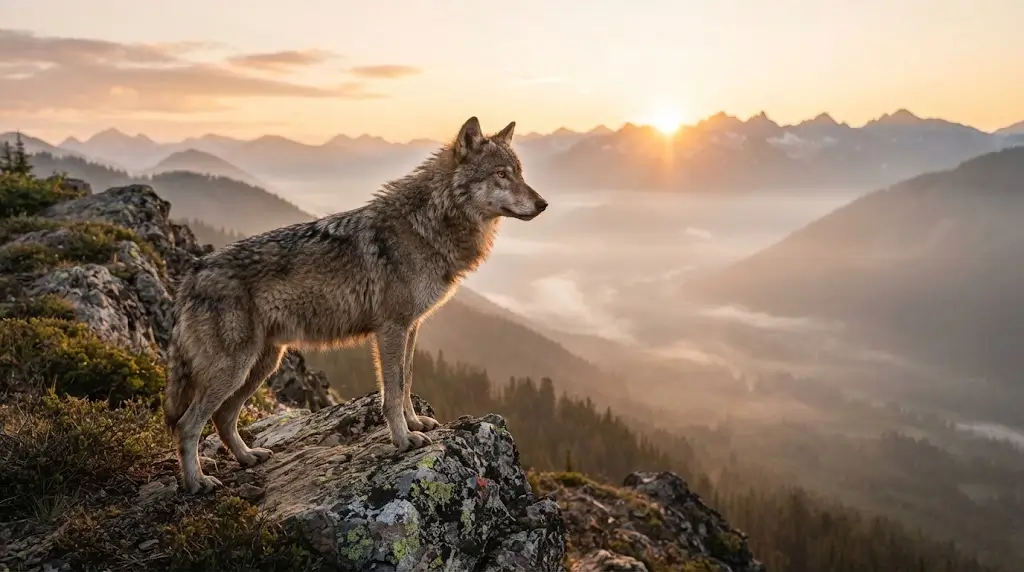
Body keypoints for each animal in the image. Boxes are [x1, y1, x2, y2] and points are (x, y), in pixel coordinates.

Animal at [162, 117, 548, 494]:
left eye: (519, 173)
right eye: (501, 174)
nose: (543, 204)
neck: (429, 225)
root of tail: (192, 274)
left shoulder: (411, 328)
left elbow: (406, 381)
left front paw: (414, 424)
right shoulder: (390, 330)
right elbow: (392, 392)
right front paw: (403, 440)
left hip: (262, 365)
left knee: (222, 418)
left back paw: (247, 457)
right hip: (235, 369)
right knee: (188, 424)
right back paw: (197, 482)